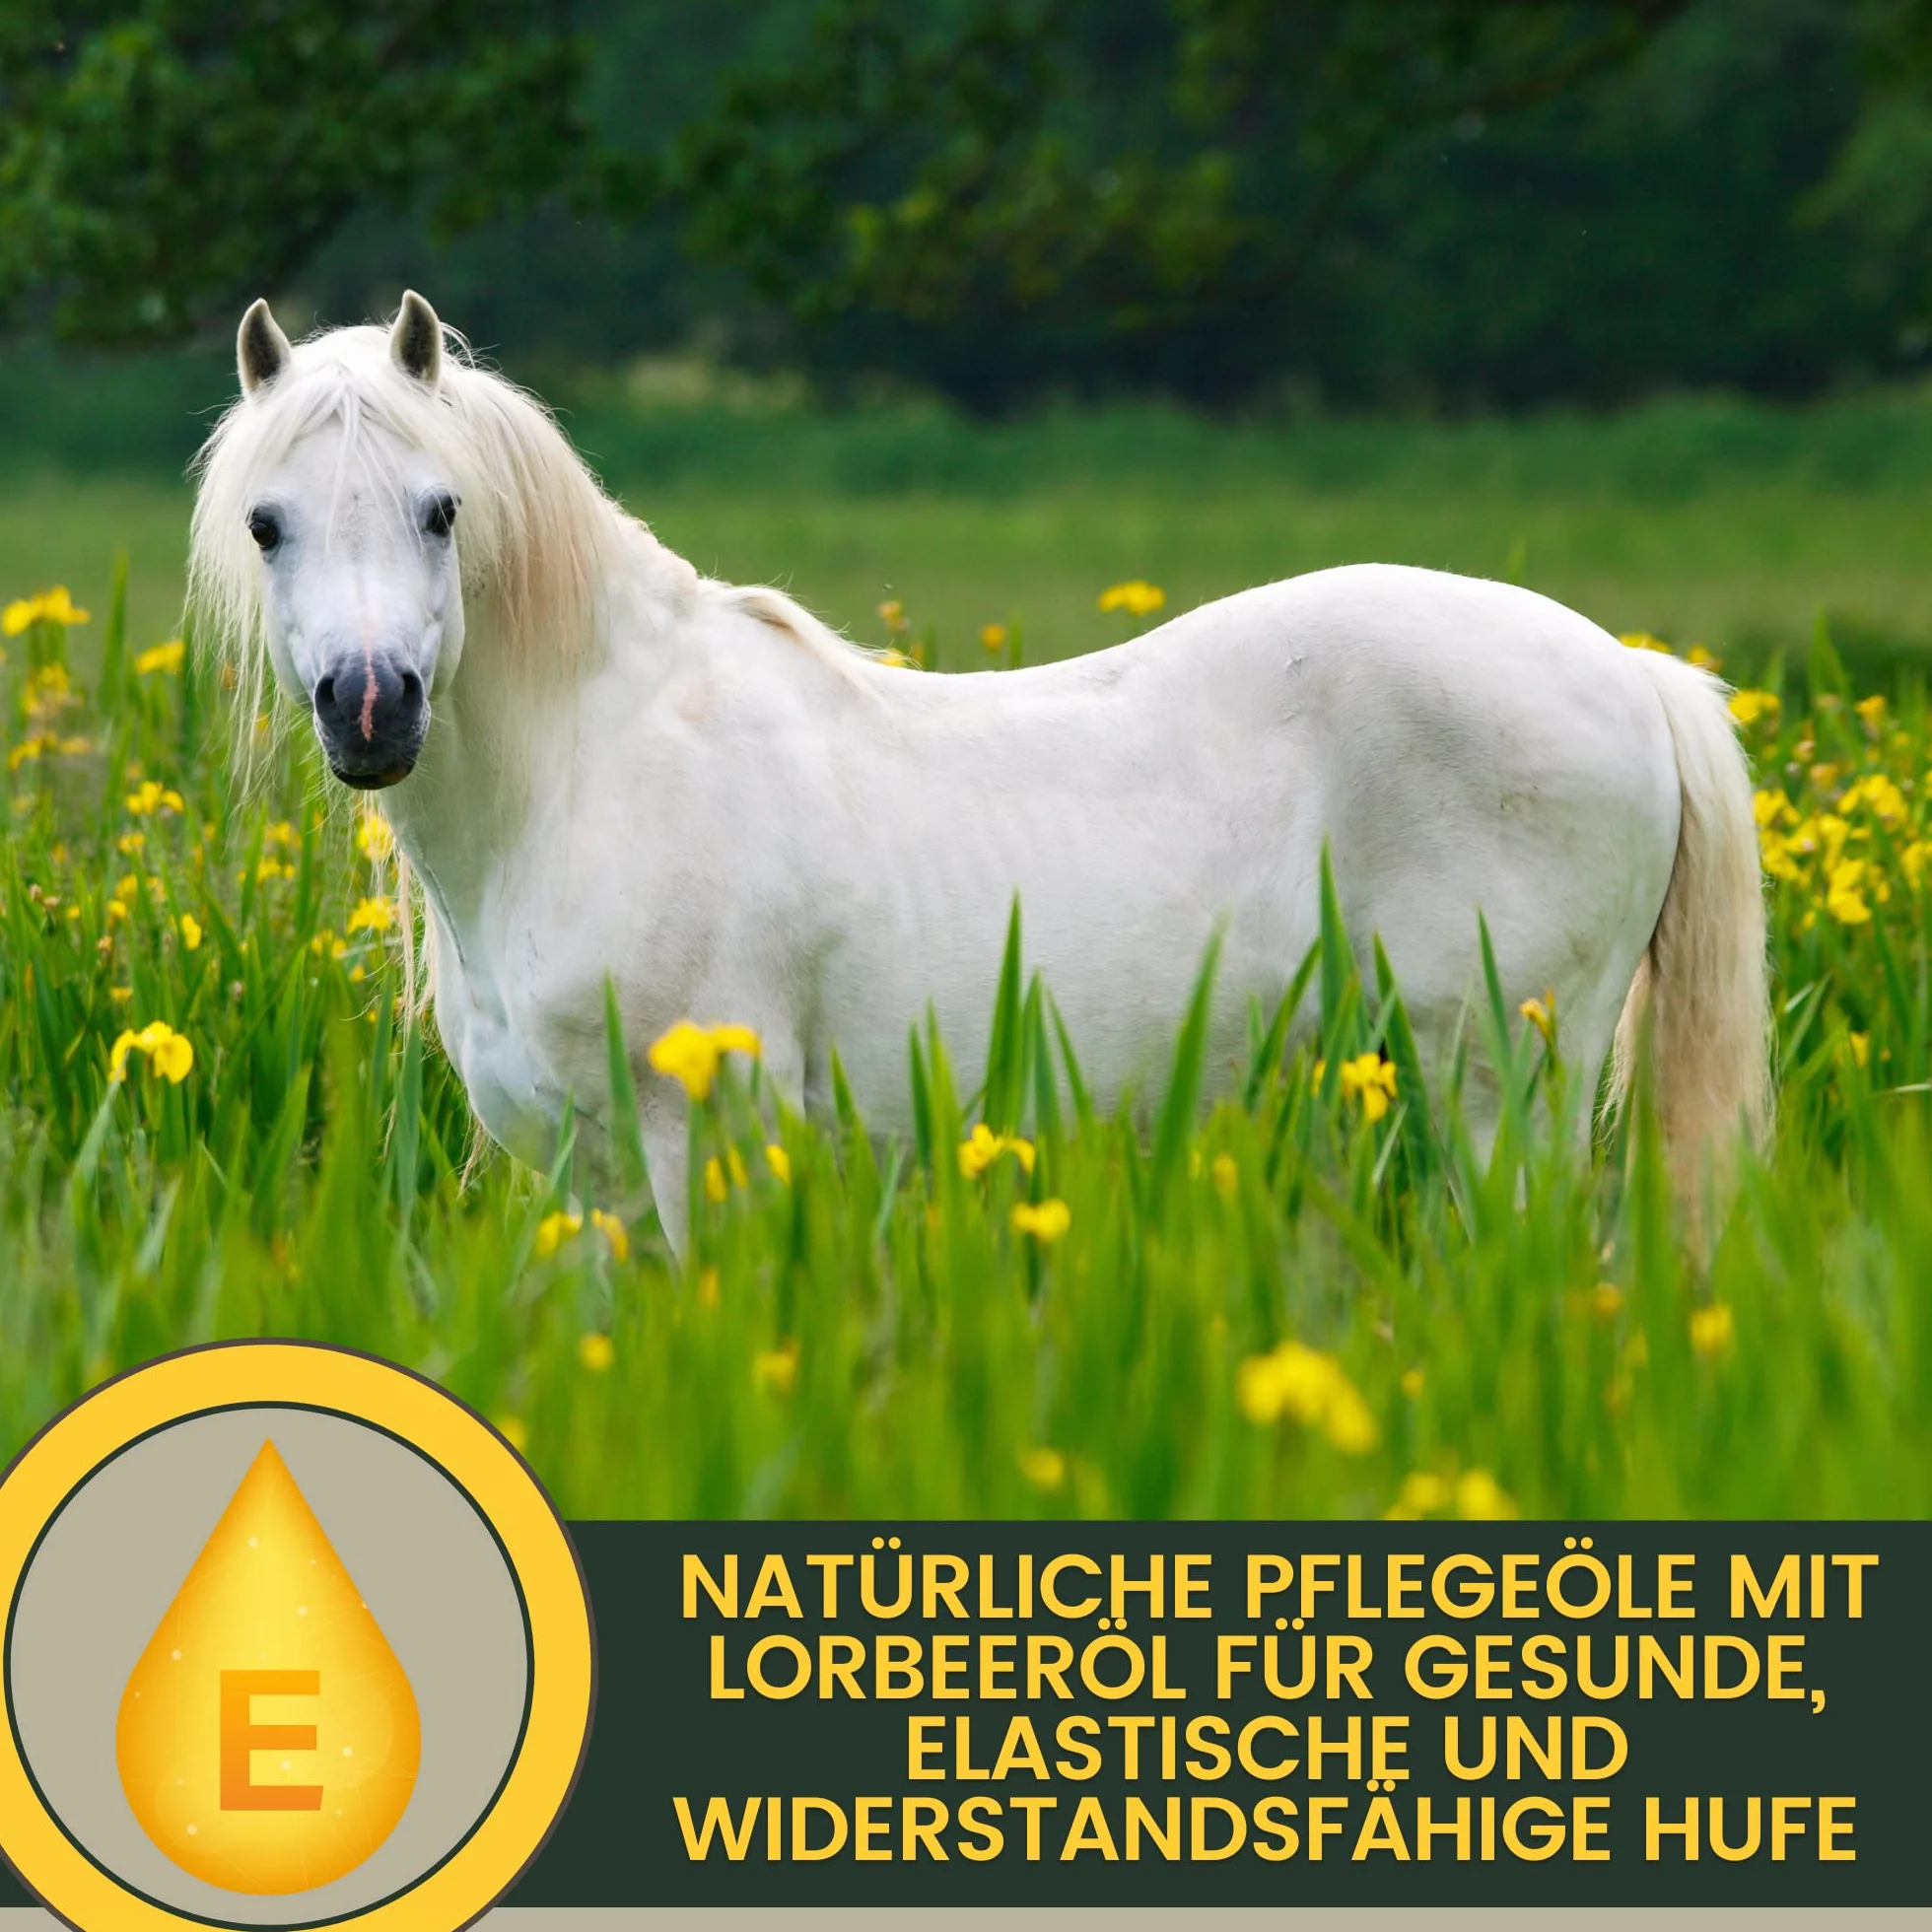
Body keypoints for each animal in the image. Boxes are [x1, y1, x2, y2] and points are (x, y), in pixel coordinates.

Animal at [189, 292, 1769, 1255]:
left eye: (441, 509)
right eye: (268, 523)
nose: (373, 708)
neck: (590, 777)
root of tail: (1634, 674)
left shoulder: (697, 1150)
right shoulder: (590, 1183)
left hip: (1503, 1088)